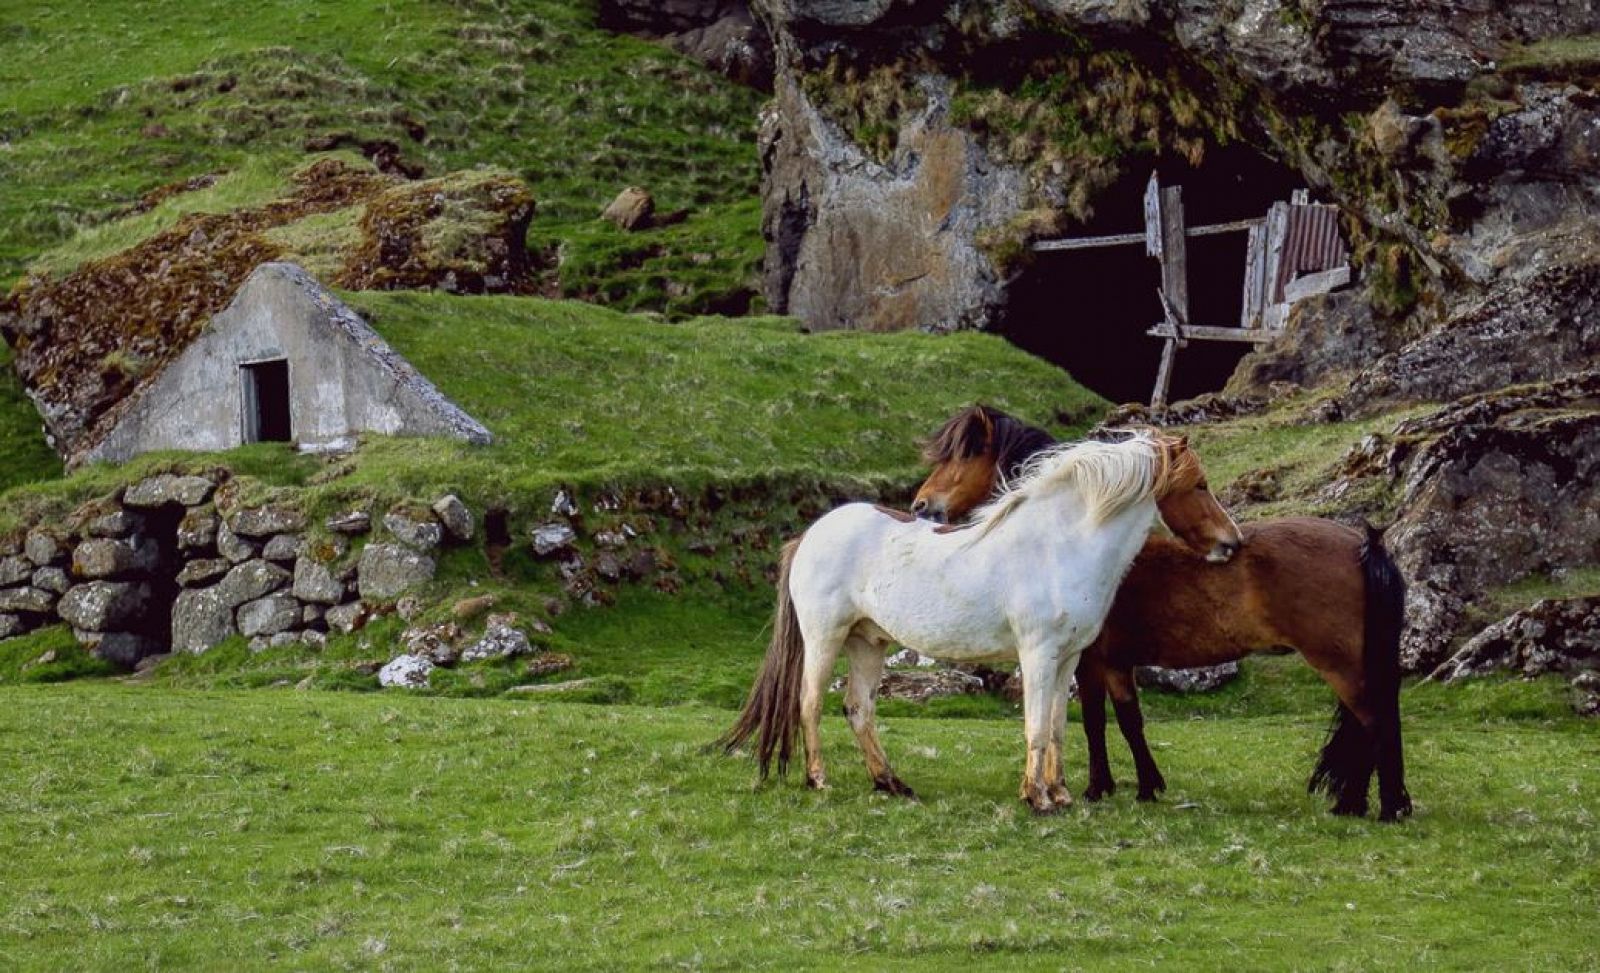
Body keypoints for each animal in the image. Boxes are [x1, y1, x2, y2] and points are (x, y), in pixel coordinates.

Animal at [720, 432, 1241, 812]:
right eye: (1199, 484)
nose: (1231, 543)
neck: (1058, 547)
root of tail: (809, 535)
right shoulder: (1038, 654)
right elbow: (1036, 726)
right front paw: (1037, 798)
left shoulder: (1068, 659)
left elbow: (1057, 726)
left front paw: (1061, 793)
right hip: (825, 638)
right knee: (810, 703)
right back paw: (819, 780)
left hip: (868, 643)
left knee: (858, 709)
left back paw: (892, 783)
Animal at [915, 404, 1414, 819]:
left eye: (960, 457)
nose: (921, 505)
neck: (1076, 539)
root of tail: (1363, 543)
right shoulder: (1114, 662)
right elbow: (1128, 720)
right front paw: (1144, 786)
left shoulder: (1092, 660)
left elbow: (1097, 720)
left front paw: (1100, 788)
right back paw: (1359, 804)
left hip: (1340, 664)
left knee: (1376, 723)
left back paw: (1383, 808)